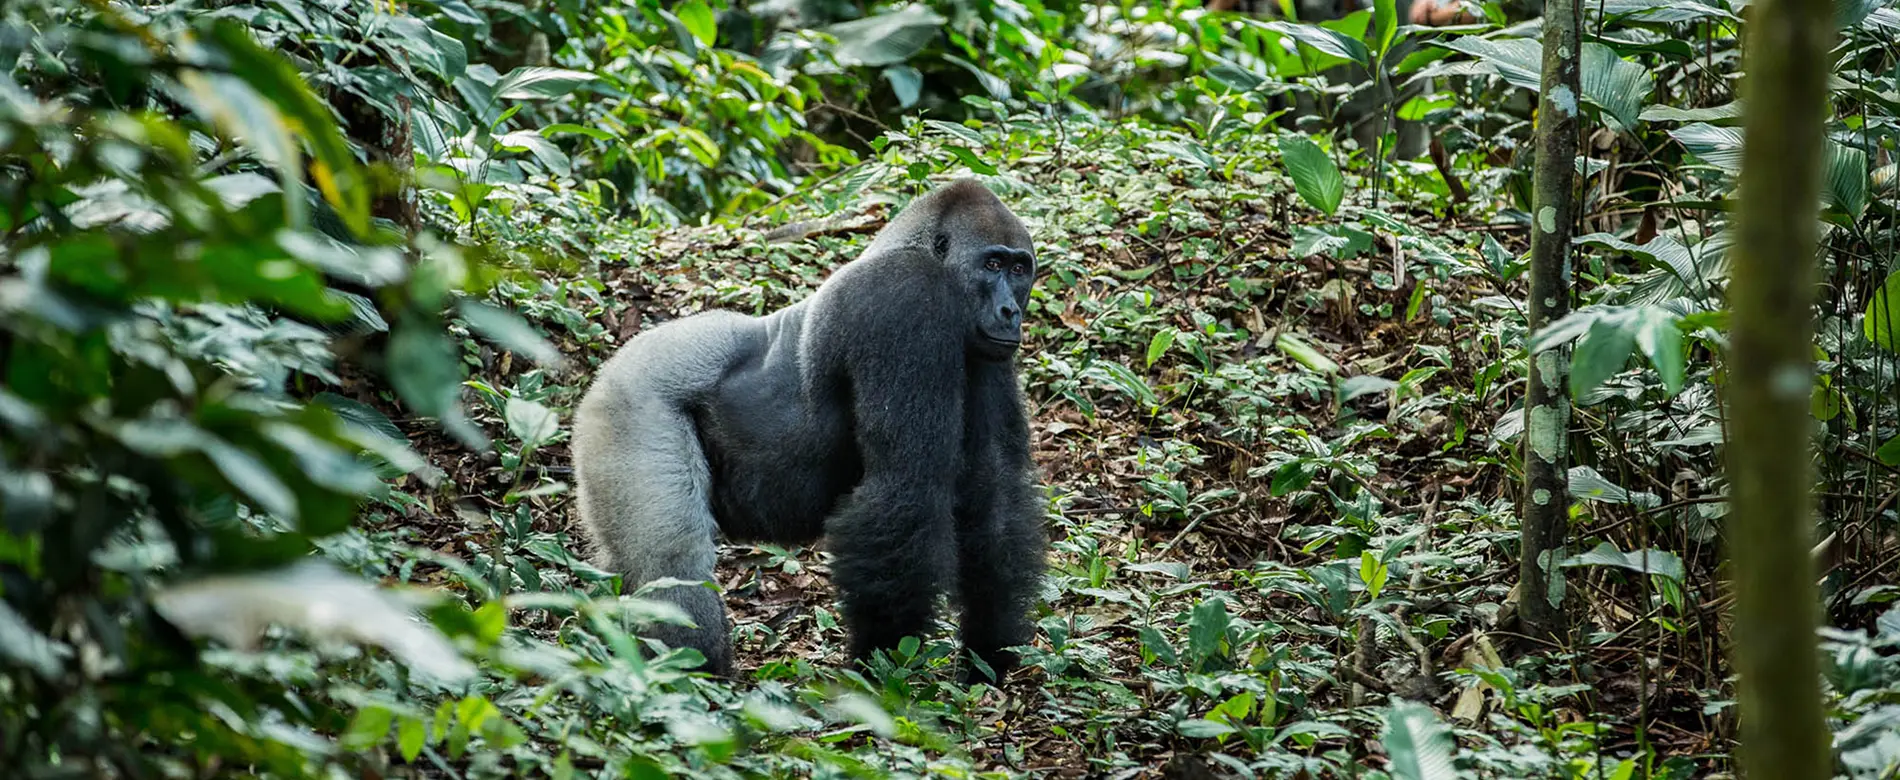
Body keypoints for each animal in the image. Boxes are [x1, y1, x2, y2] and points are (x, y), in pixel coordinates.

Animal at [570, 179, 1047, 682]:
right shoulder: (904, 300)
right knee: (671, 559)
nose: (1010, 311)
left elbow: (993, 490)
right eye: (992, 264)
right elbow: (905, 487)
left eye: (1020, 269)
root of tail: (609, 368)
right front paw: (883, 664)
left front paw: (990, 650)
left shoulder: (984, 351)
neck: (913, 247)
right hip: (629, 403)